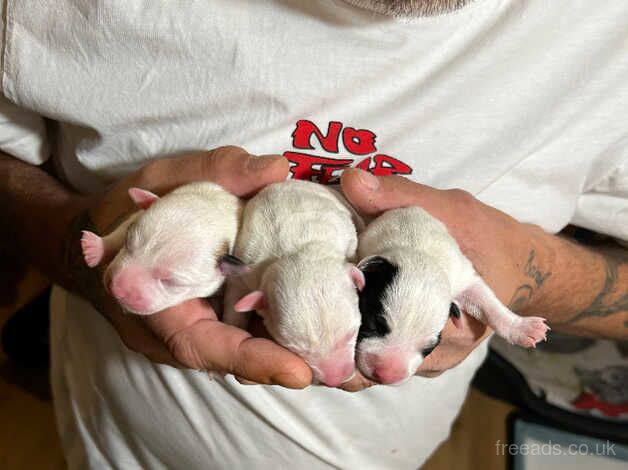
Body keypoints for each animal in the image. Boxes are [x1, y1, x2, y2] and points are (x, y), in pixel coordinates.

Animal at [224, 179, 364, 386]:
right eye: (296, 348)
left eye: (351, 334)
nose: (336, 380)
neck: (295, 251)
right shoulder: (244, 268)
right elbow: (235, 291)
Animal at [358, 207, 548, 384]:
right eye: (374, 323)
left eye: (429, 348)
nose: (387, 375)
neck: (419, 253)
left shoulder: (463, 277)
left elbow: (488, 302)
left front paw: (522, 327)